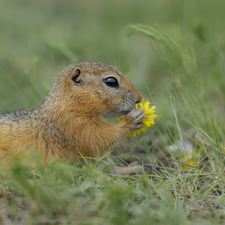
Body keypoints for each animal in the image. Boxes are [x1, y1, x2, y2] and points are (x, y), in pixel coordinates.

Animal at [0, 61, 146, 174]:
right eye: (111, 81)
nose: (139, 98)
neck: (66, 104)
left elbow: (106, 163)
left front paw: (130, 169)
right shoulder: (76, 126)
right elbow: (99, 139)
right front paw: (131, 120)